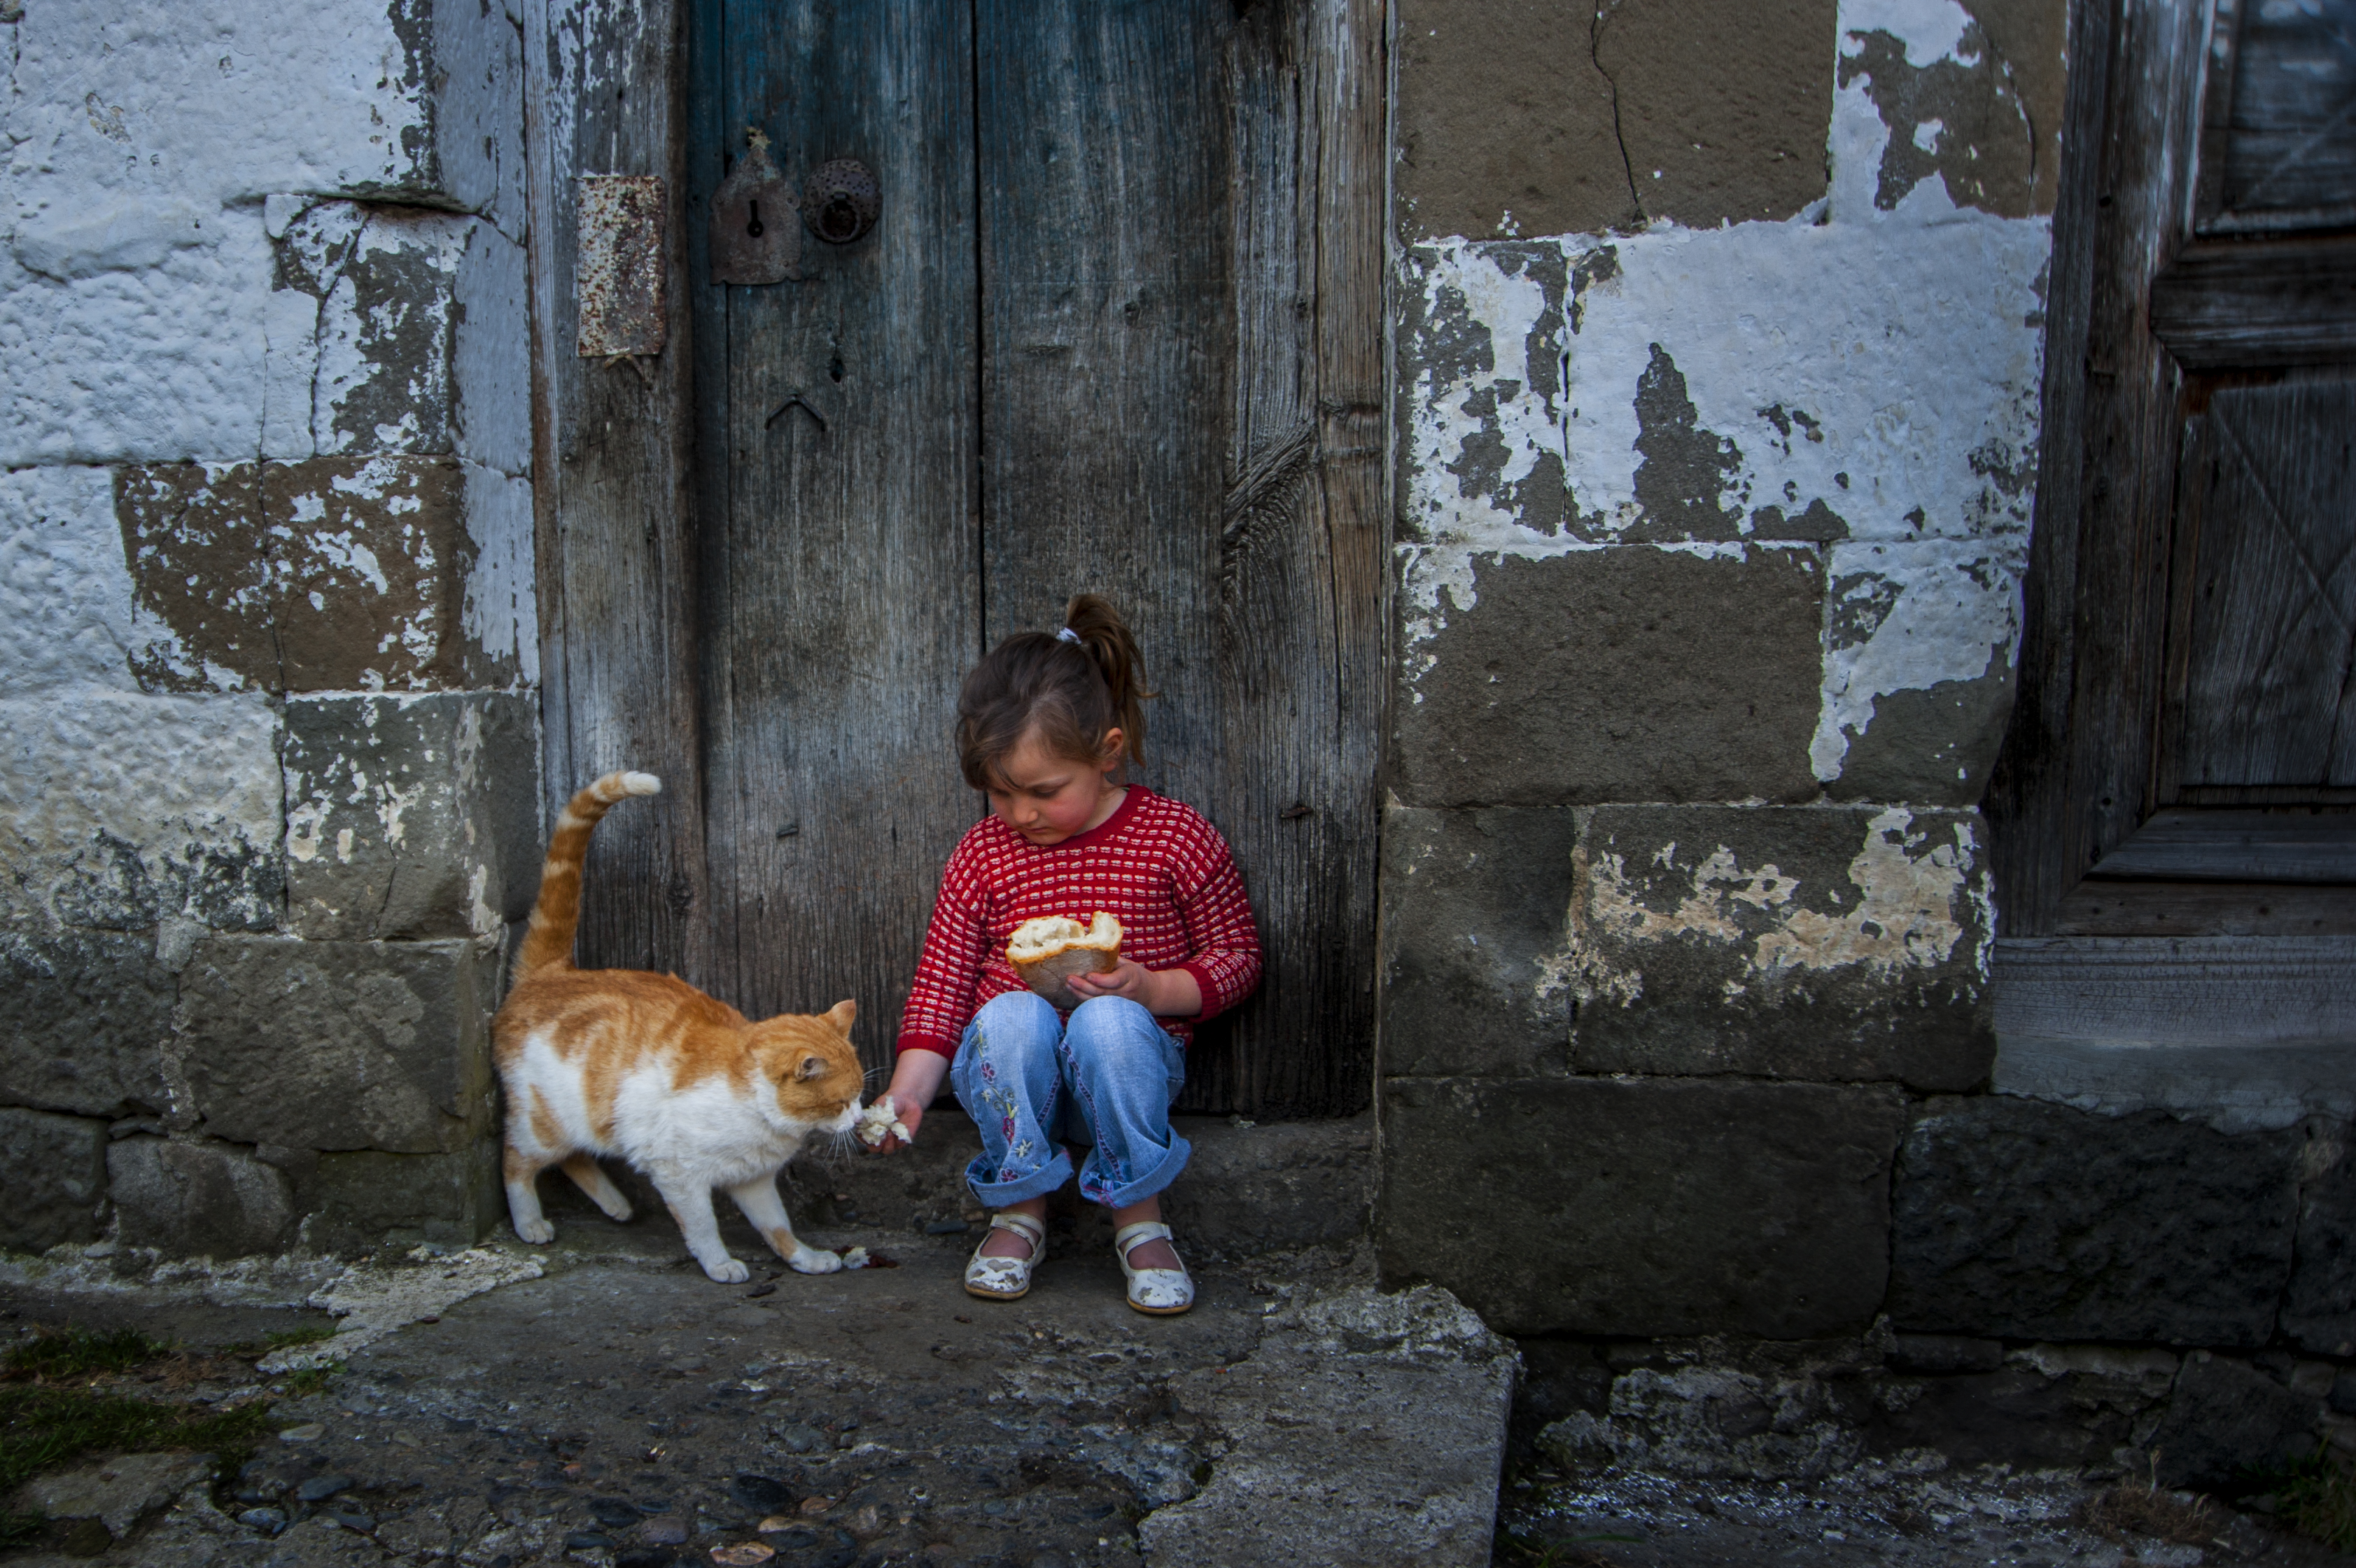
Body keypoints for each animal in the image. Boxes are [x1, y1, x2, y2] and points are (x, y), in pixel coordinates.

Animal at [492, 764, 871, 1282]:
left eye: (859, 1097)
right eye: (841, 1102)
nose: (861, 1117)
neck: (760, 1115)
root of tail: (552, 973)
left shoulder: (753, 1179)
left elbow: (778, 1227)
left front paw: (805, 1258)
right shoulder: (679, 1173)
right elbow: (702, 1227)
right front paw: (721, 1264)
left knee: (575, 1156)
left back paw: (615, 1204)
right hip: (545, 1121)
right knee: (516, 1161)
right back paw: (530, 1221)